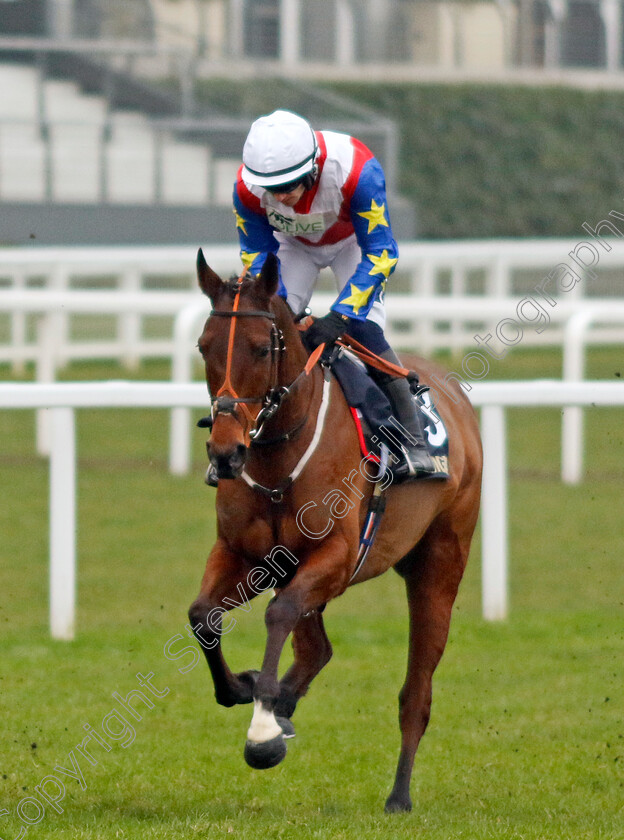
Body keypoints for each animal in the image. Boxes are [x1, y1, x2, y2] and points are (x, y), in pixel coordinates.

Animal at [189, 251, 482, 812]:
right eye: (203, 345)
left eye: (261, 348)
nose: (225, 453)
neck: (279, 456)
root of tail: (455, 397)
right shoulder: (244, 554)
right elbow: (202, 616)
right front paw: (245, 688)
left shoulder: (338, 557)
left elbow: (279, 614)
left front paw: (263, 733)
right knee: (315, 648)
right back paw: (283, 701)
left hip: (439, 561)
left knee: (416, 691)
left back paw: (398, 795)